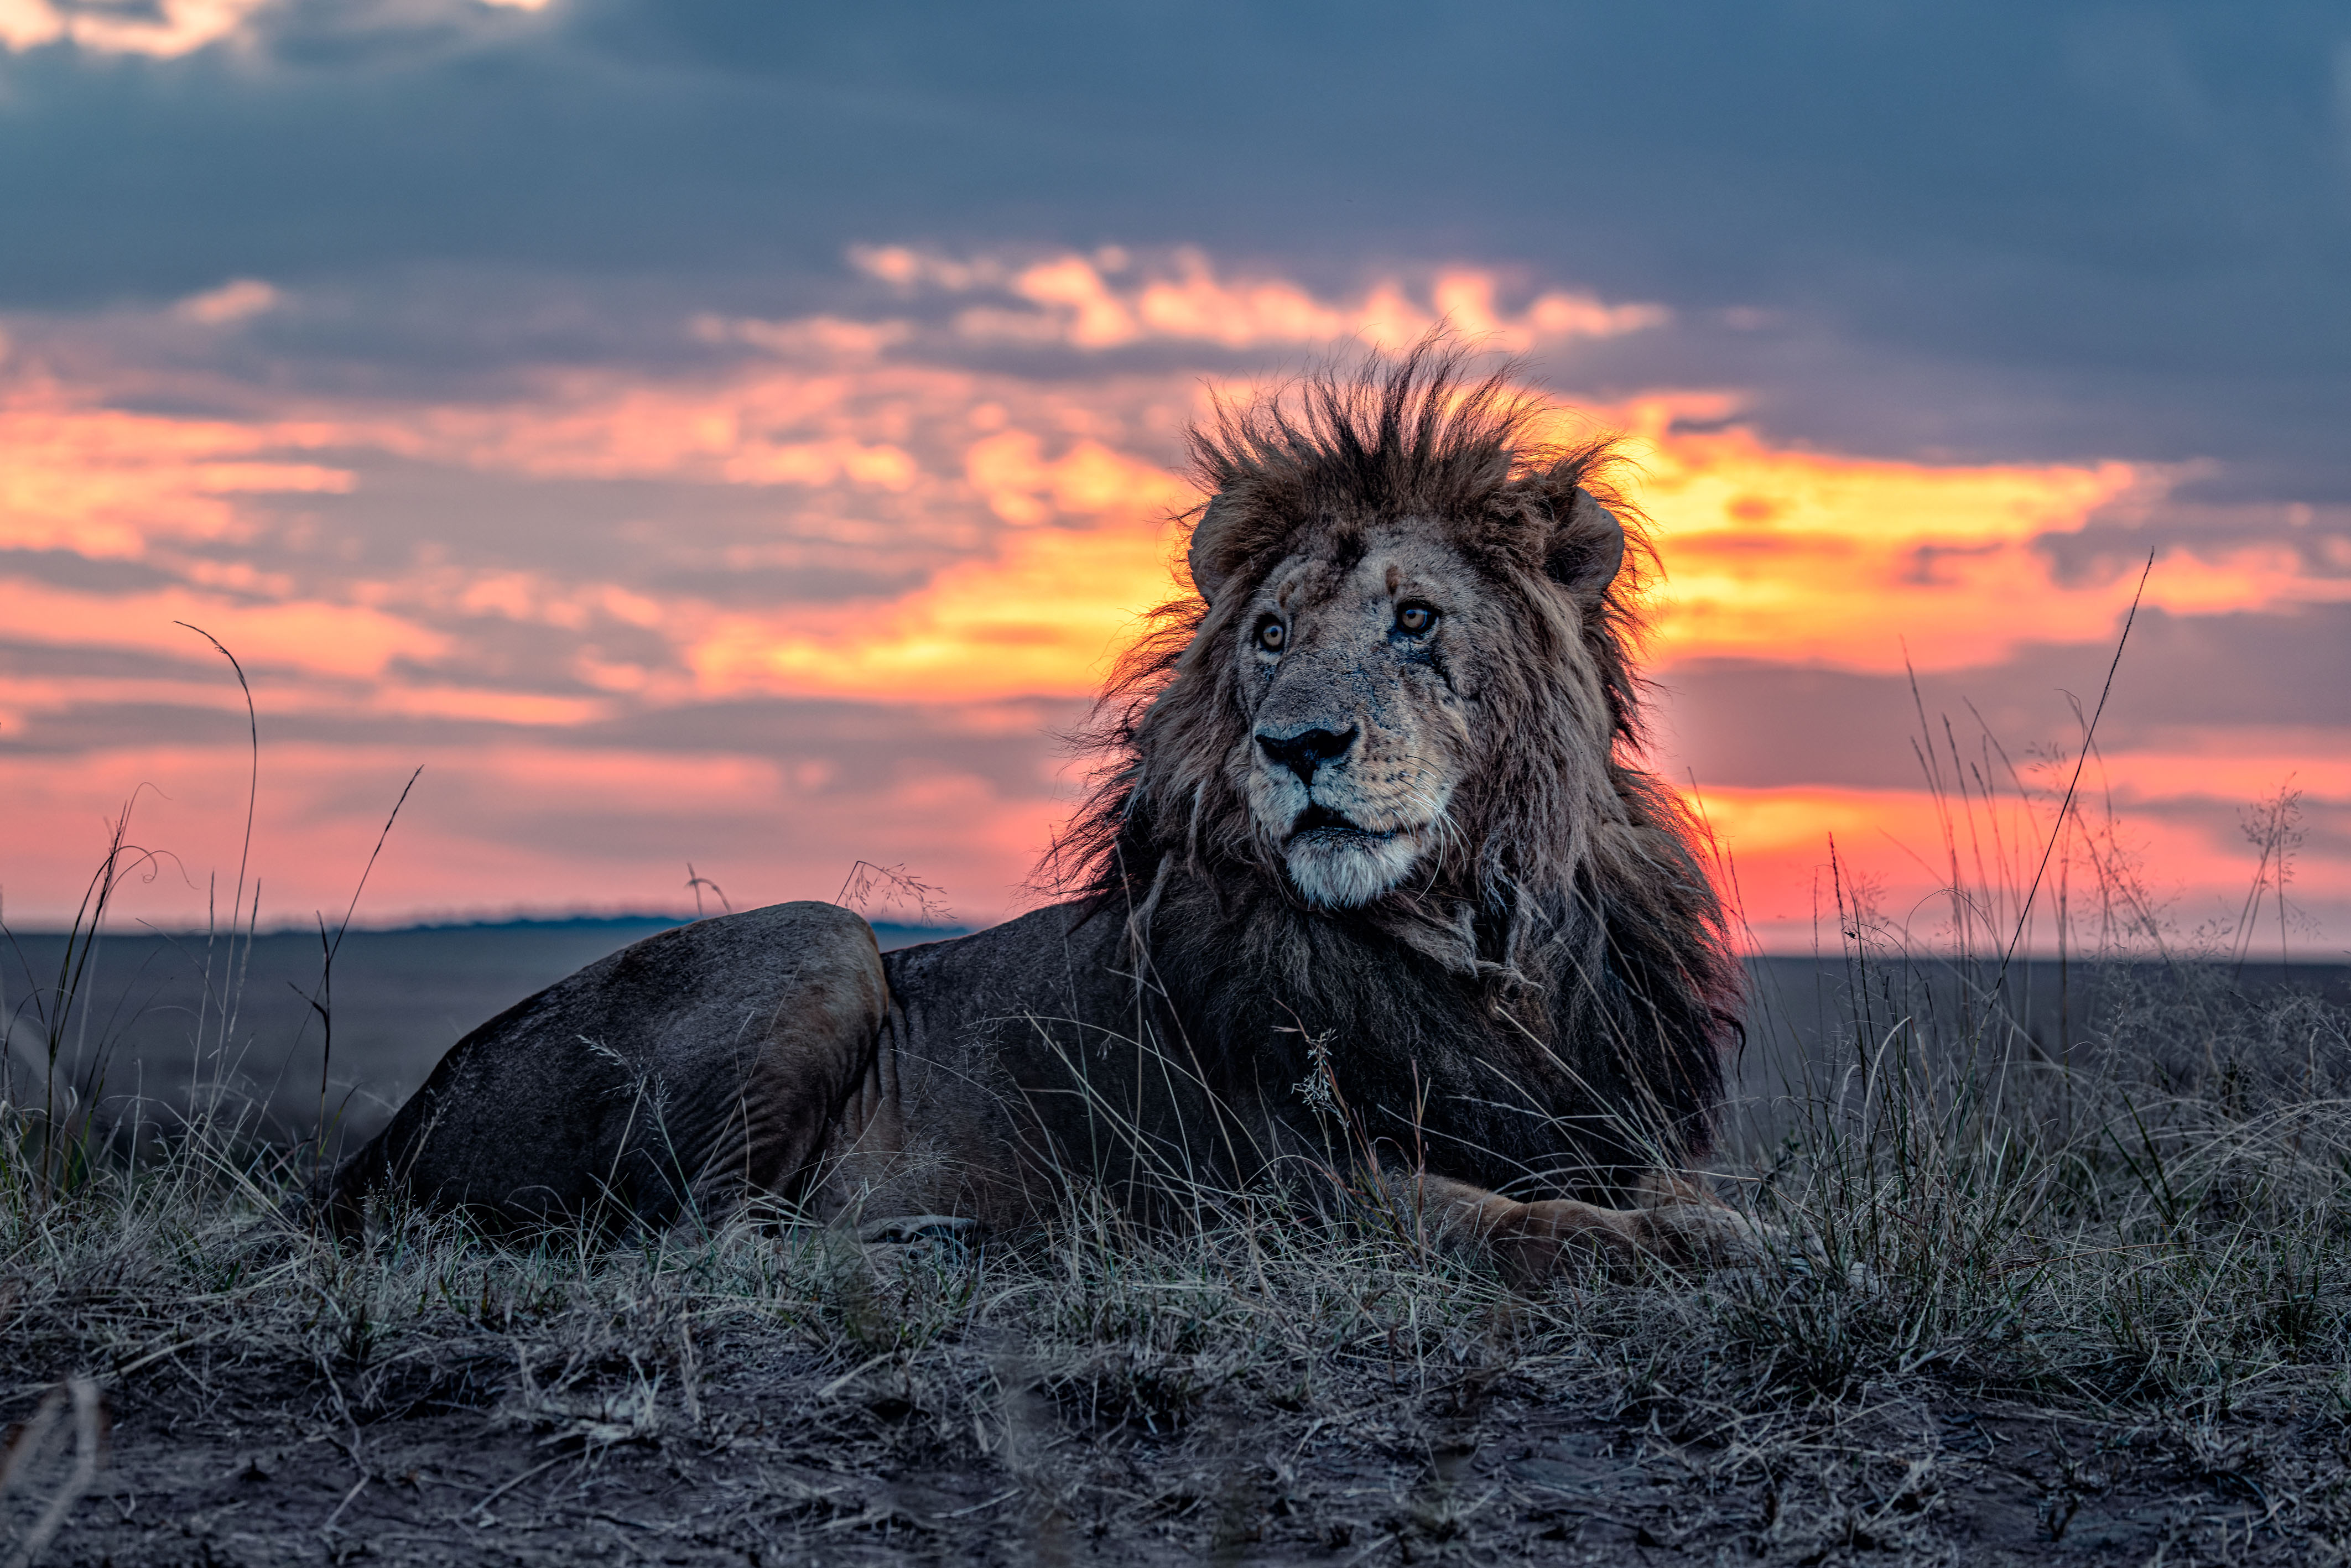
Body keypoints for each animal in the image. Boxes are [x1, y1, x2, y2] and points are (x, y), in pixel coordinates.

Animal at [336, 341, 1768, 1279]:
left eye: (1414, 623)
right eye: (1269, 636)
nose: (1297, 743)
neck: (1480, 945)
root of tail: (377, 1153)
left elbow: (1648, 1188)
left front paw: (1718, 1220)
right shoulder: (1283, 1194)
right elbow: (1523, 1222)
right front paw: (1699, 1242)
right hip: (819, 938)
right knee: (701, 1242)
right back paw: (921, 1247)